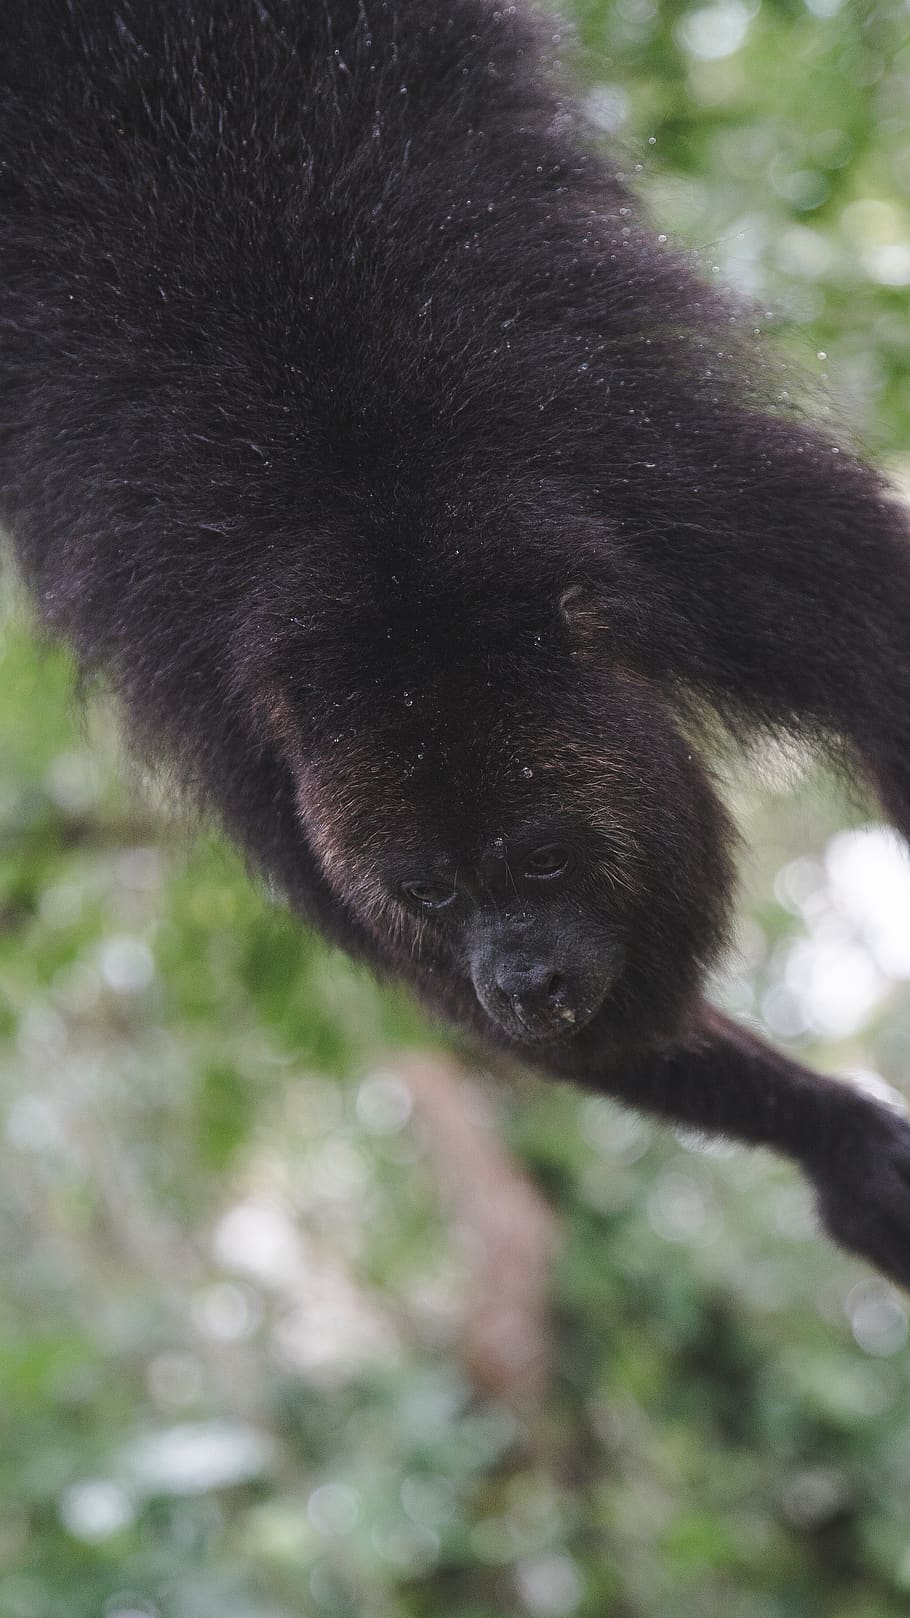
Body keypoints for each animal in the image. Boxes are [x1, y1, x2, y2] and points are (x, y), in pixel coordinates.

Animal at [4, 0, 910, 1289]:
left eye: (543, 860)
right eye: (429, 890)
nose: (522, 980)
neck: (391, 553)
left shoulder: (735, 542)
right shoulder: (267, 773)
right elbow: (548, 1024)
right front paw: (830, 1139)